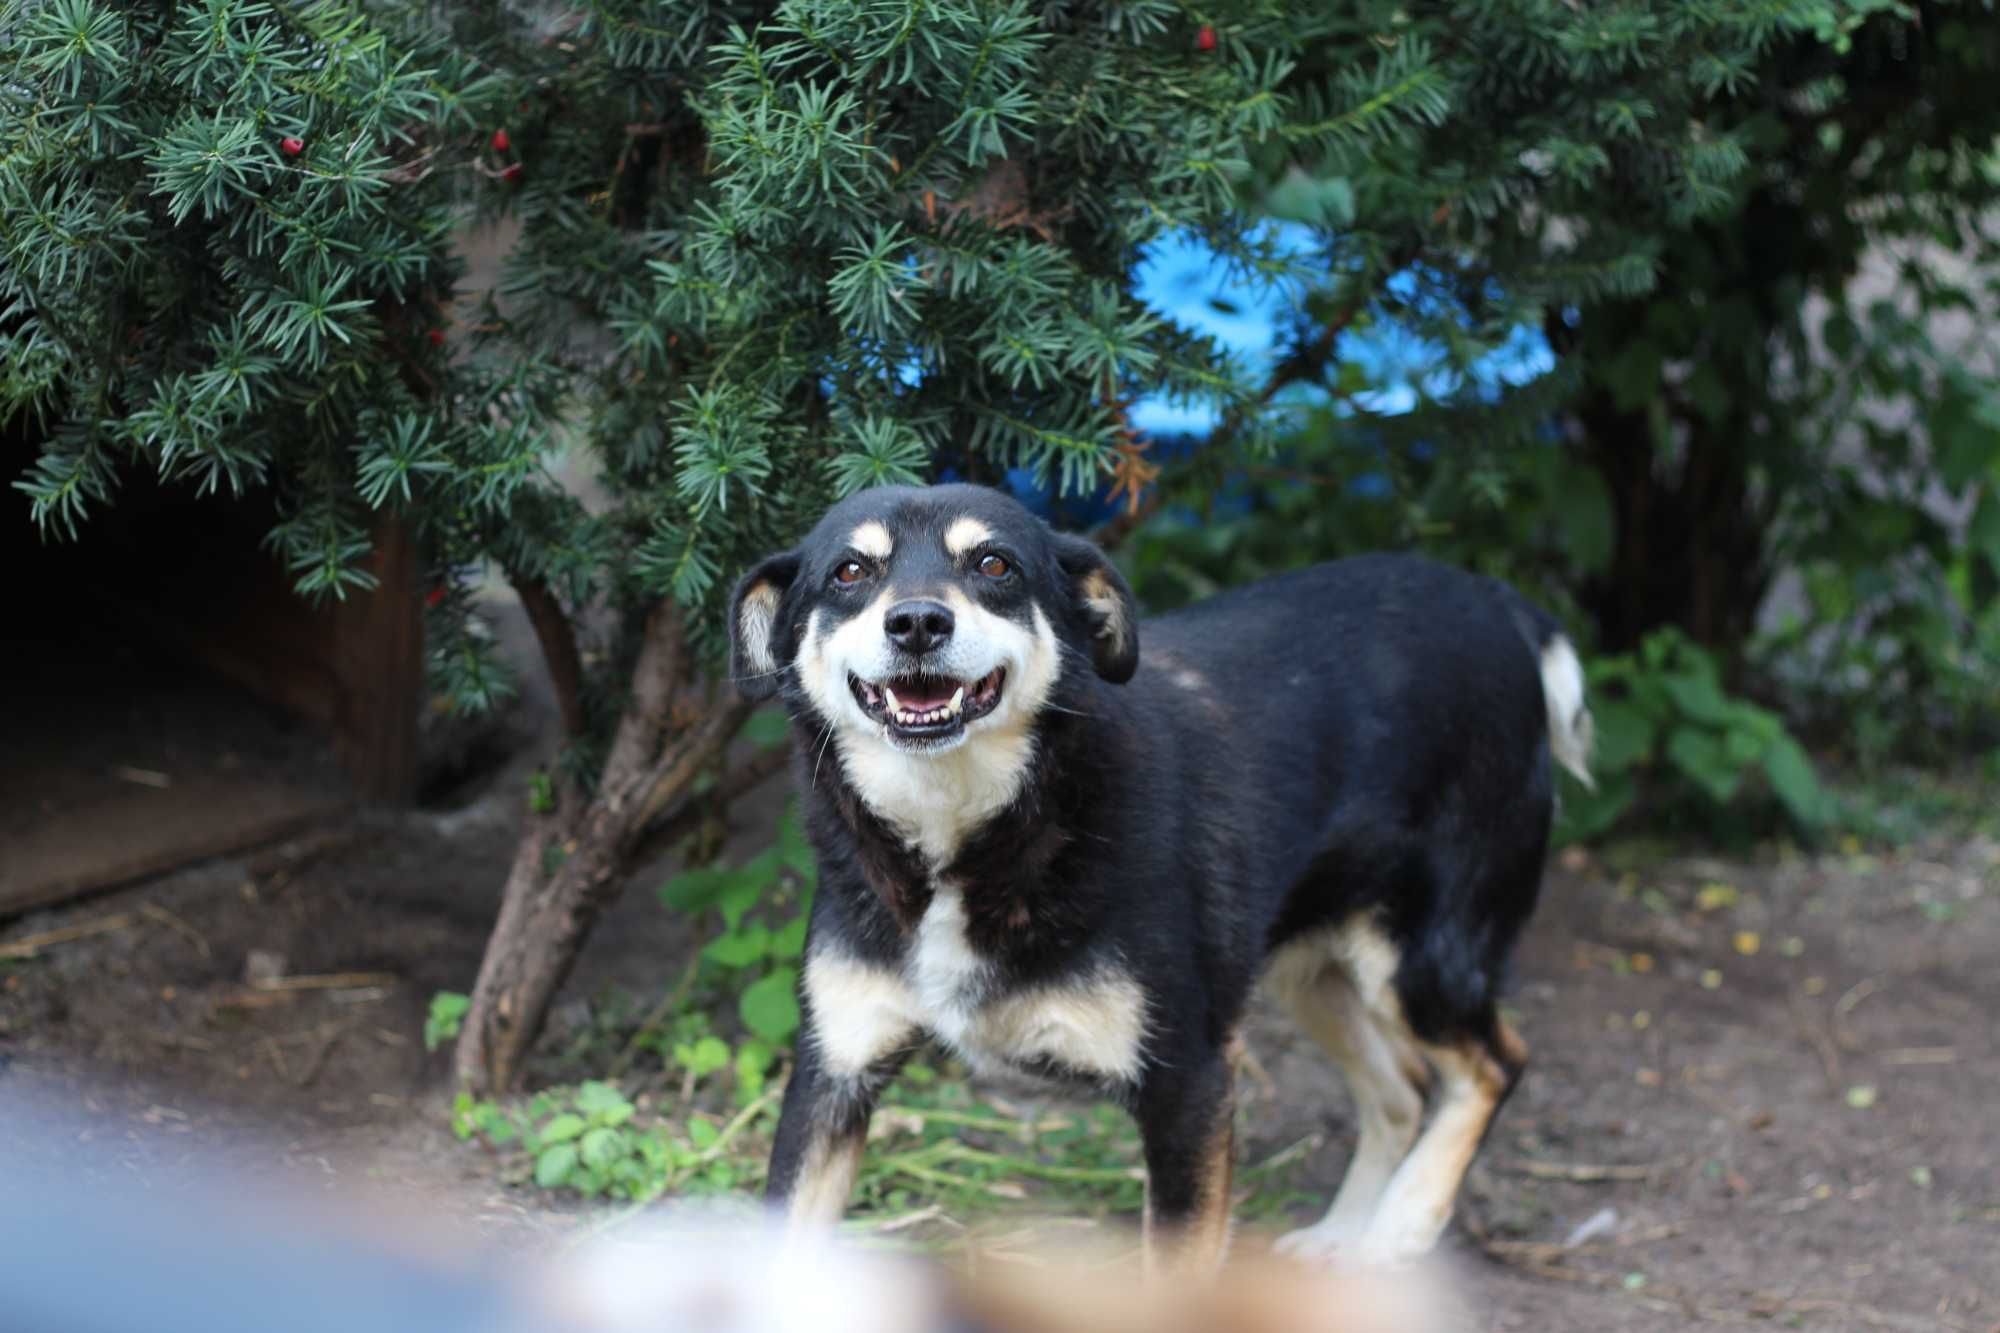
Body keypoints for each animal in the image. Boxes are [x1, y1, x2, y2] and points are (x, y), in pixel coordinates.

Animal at [736, 482, 1592, 1272]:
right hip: (1307, 968)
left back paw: (1399, 1228)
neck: (968, 834)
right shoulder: (831, 1073)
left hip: (1421, 959)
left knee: (1497, 1063)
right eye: (850, 571)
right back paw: (1345, 1235)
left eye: (993, 564)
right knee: (1405, 1087)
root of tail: (1499, 602)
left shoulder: (1191, 1084)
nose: (916, 622)